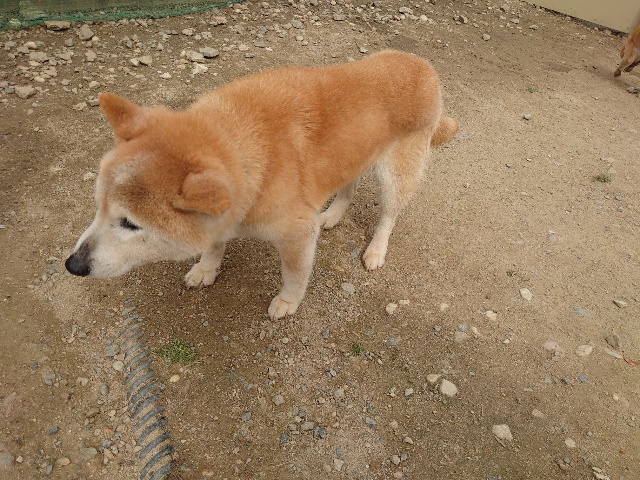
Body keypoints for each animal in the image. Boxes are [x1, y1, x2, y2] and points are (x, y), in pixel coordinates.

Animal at [65, 50, 458, 320]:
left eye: (130, 223)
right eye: (98, 206)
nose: (73, 265)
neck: (241, 141)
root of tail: (423, 64)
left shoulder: (297, 233)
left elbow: (295, 274)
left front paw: (288, 301)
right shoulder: (226, 211)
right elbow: (215, 242)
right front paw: (206, 268)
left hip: (397, 173)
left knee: (389, 215)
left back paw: (376, 250)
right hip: (357, 156)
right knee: (348, 186)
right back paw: (334, 214)